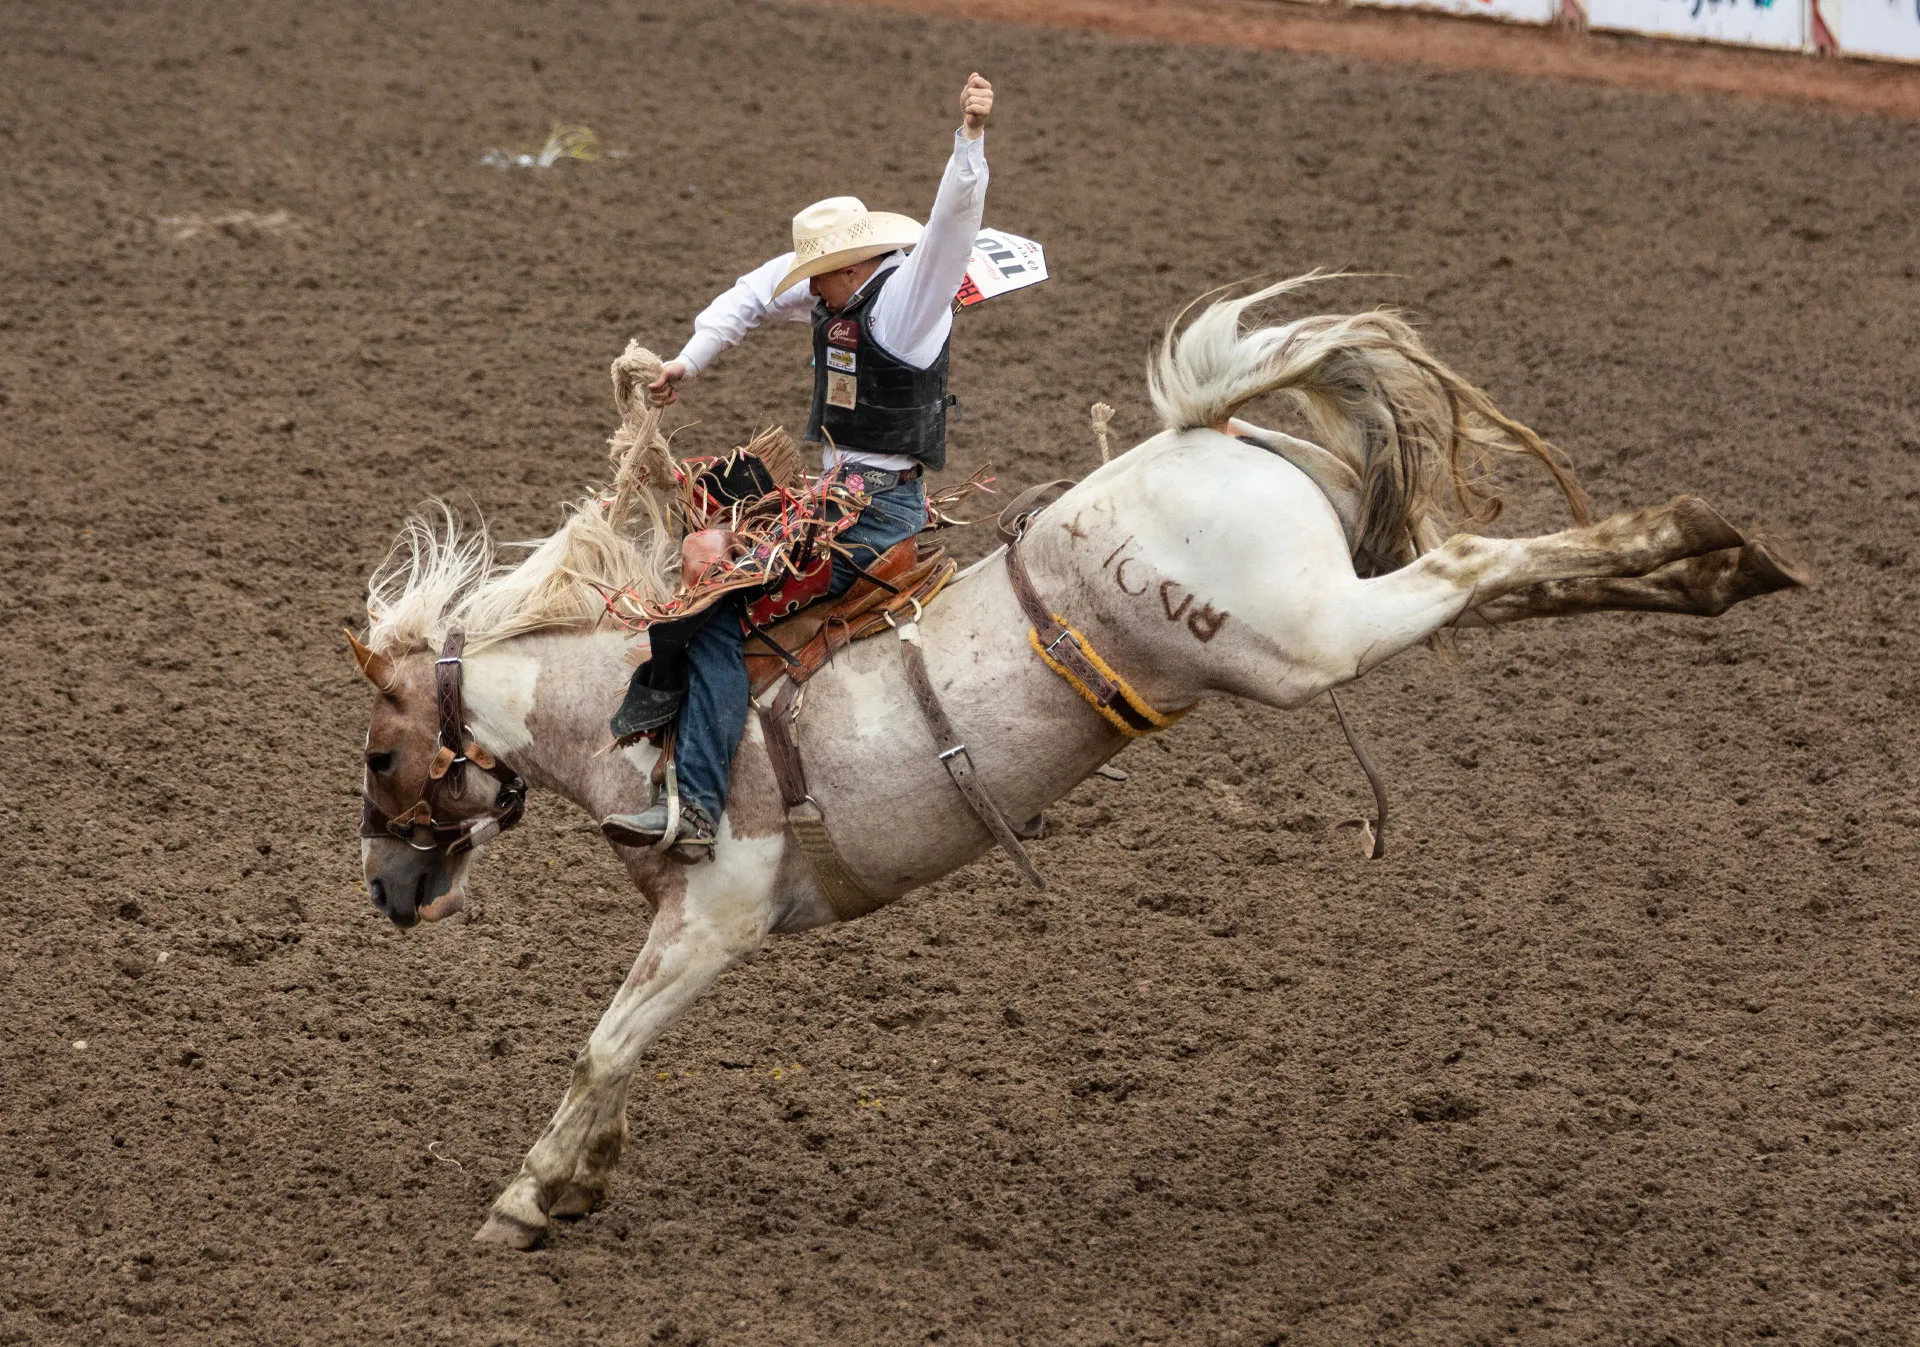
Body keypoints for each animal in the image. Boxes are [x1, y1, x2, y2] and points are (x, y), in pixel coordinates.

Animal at [353, 276, 1804, 1258]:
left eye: (379, 750)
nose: (384, 892)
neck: (622, 706)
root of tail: (1206, 431)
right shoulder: (676, 923)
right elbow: (626, 1052)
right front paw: (581, 1177)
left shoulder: (718, 912)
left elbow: (605, 1041)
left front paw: (523, 1200)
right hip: (1335, 605)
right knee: (1514, 578)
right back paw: (1712, 557)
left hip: (1310, 640)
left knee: (1470, 564)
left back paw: (1702, 542)